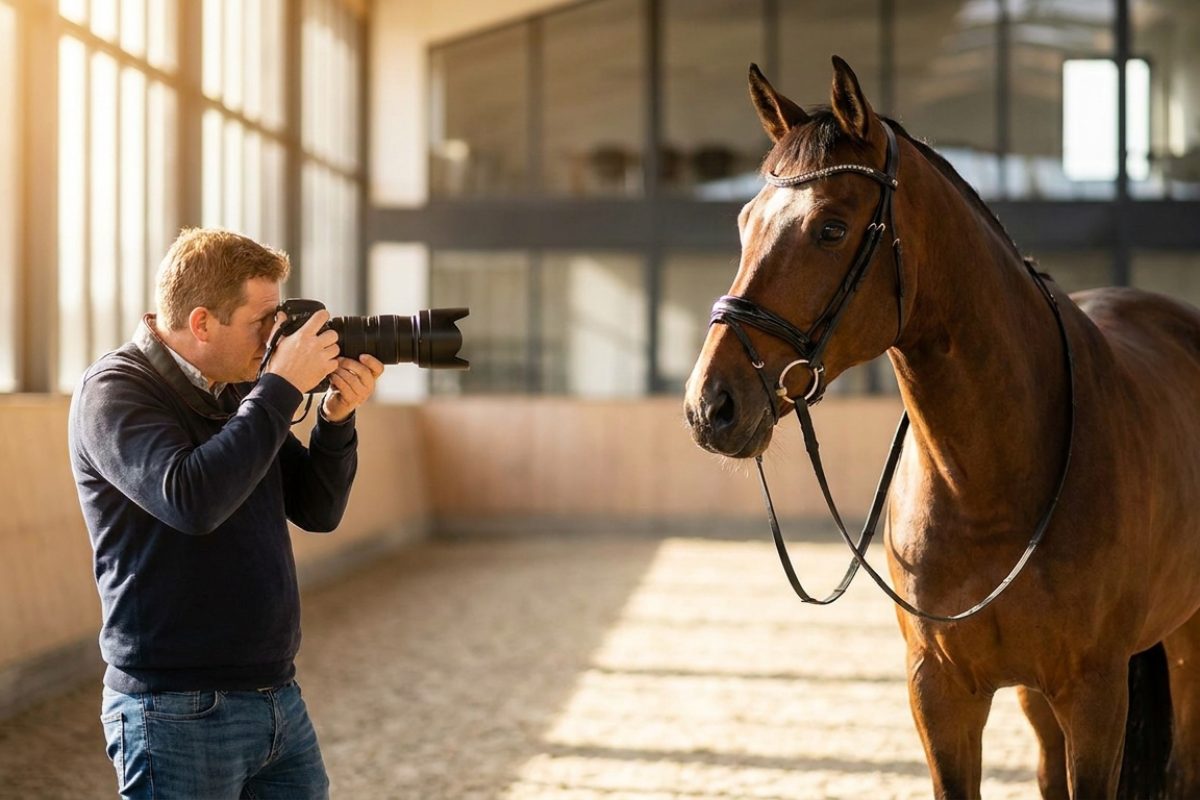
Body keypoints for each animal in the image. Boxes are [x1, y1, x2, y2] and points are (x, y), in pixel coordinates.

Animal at [683, 56, 1200, 800]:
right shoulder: (940, 690)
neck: (991, 484)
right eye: (745, 221)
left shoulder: (1096, 691)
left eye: (831, 228)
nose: (711, 405)